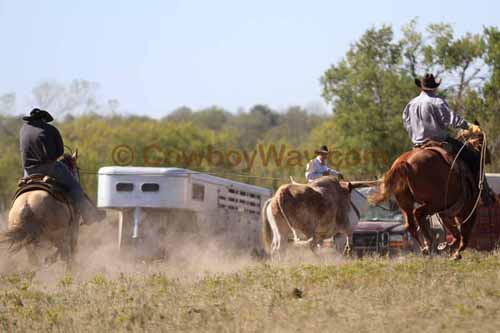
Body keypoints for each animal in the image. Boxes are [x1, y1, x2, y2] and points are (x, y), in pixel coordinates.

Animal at [372, 130, 488, 260]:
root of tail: (405, 162)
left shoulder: (448, 212)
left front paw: (450, 248)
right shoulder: (465, 209)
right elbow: (462, 233)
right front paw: (454, 251)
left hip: (406, 202)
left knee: (410, 224)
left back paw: (425, 248)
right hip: (436, 202)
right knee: (418, 213)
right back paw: (430, 243)